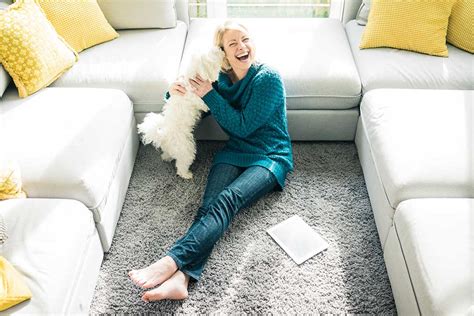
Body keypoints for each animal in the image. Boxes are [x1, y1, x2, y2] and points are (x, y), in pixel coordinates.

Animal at [137, 47, 226, 179]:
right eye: (214, 52)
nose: (221, 48)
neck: (193, 77)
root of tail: (164, 135)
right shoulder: (200, 100)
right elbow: (205, 103)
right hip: (186, 148)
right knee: (181, 165)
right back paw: (186, 174)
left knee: (168, 154)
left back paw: (166, 157)